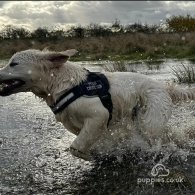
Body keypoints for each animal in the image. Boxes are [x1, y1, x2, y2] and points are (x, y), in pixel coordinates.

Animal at [0, 49, 194, 161]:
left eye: (13, 63)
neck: (61, 84)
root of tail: (164, 87)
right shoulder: (80, 125)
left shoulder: (99, 115)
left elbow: (75, 148)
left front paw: (88, 156)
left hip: (150, 122)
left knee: (158, 138)